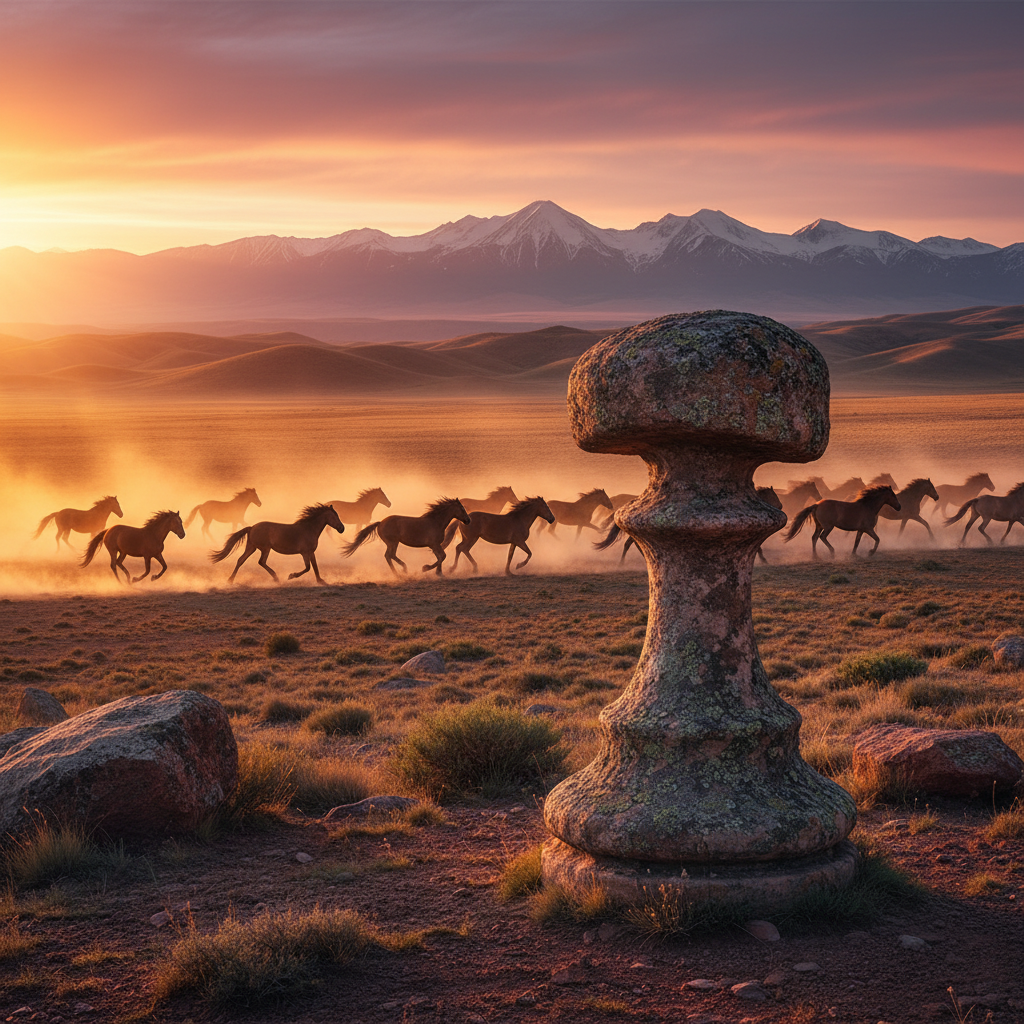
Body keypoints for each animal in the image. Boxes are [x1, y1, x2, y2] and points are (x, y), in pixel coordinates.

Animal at [211, 503, 344, 585]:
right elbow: (308, 567)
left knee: (241, 560)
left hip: (252, 547)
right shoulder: (305, 552)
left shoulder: (311, 552)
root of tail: (252, 527)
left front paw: (321, 581)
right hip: (265, 548)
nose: (342, 528)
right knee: (261, 562)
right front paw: (291, 576)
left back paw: (230, 580)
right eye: (335, 516)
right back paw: (276, 578)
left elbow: (315, 566)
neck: (309, 529)